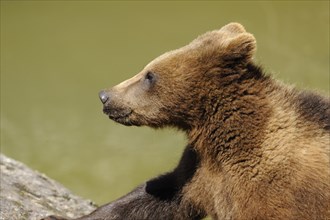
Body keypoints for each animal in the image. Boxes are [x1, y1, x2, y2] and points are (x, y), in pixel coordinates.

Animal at [44, 22, 330, 220]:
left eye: (150, 75)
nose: (105, 96)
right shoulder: (200, 169)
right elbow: (155, 196)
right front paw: (57, 215)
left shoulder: (278, 193)